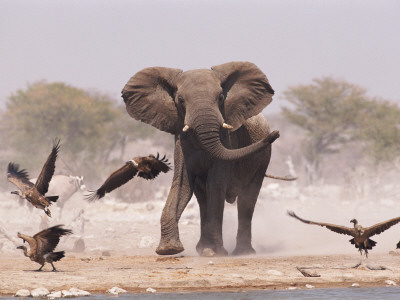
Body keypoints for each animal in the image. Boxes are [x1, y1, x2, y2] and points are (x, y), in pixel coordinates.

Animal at [123, 61, 280, 255]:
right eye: (180, 100)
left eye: (221, 97)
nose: (277, 133)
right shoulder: (181, 143)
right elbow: (182, 184)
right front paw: (169, 249)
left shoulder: (227, 141)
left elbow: (216, 184)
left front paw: (216, 252)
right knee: (202, 197)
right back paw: (203, 248)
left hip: (262, 160)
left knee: (247, 198)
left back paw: (243, 252)